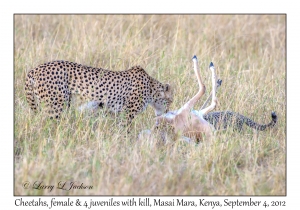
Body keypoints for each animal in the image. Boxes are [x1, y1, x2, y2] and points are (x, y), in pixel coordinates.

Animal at [25, 60, 173, 124]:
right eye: (170, 100)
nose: (168, 111)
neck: (151, 88)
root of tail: (35, 69)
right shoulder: (127, 113)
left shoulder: (113, 112)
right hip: (55, 108)